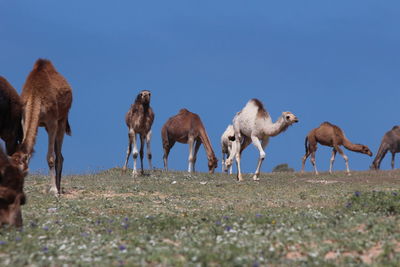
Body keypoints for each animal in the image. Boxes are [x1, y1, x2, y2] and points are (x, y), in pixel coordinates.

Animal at [11, 59, 72, 196]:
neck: (35, 95)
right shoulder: (25, 119)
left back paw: (58, 188)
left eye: (21, 172)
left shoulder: (52, 121)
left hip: (62, 118)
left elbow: (51, 157)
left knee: (59, 156)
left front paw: (54, 190)